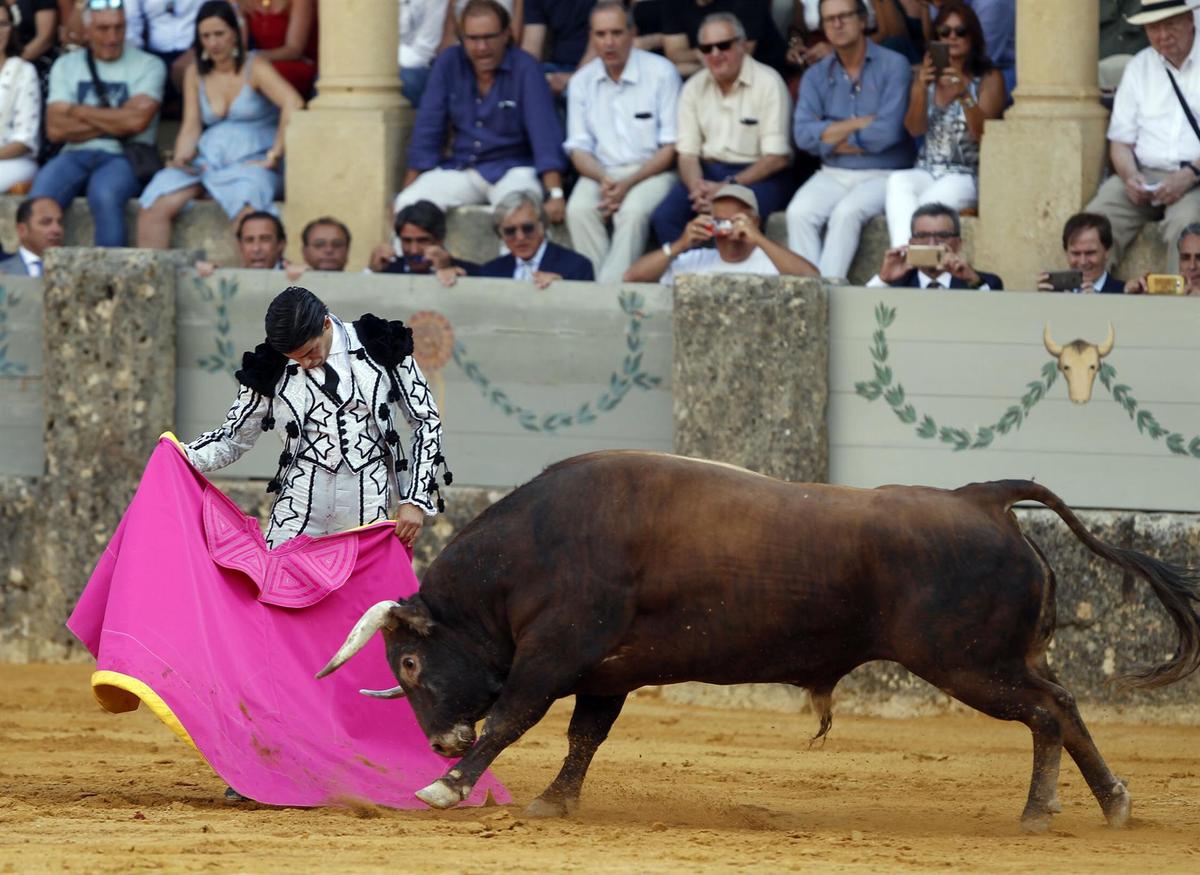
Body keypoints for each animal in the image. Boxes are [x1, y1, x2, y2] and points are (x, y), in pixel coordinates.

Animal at [319, 453, 1200, 830]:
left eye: (409, 661)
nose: (440, 741)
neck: (533, 549)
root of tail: (979, 497)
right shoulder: (607, 672)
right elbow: (583, 737)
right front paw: (555, 801)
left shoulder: (554, 655)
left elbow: (513, 719)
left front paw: (446, 788)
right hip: (1005, 657)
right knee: (1067, 705)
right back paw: (1112, 803)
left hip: (970, 663)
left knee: (1048, 712)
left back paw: (1040, 811)